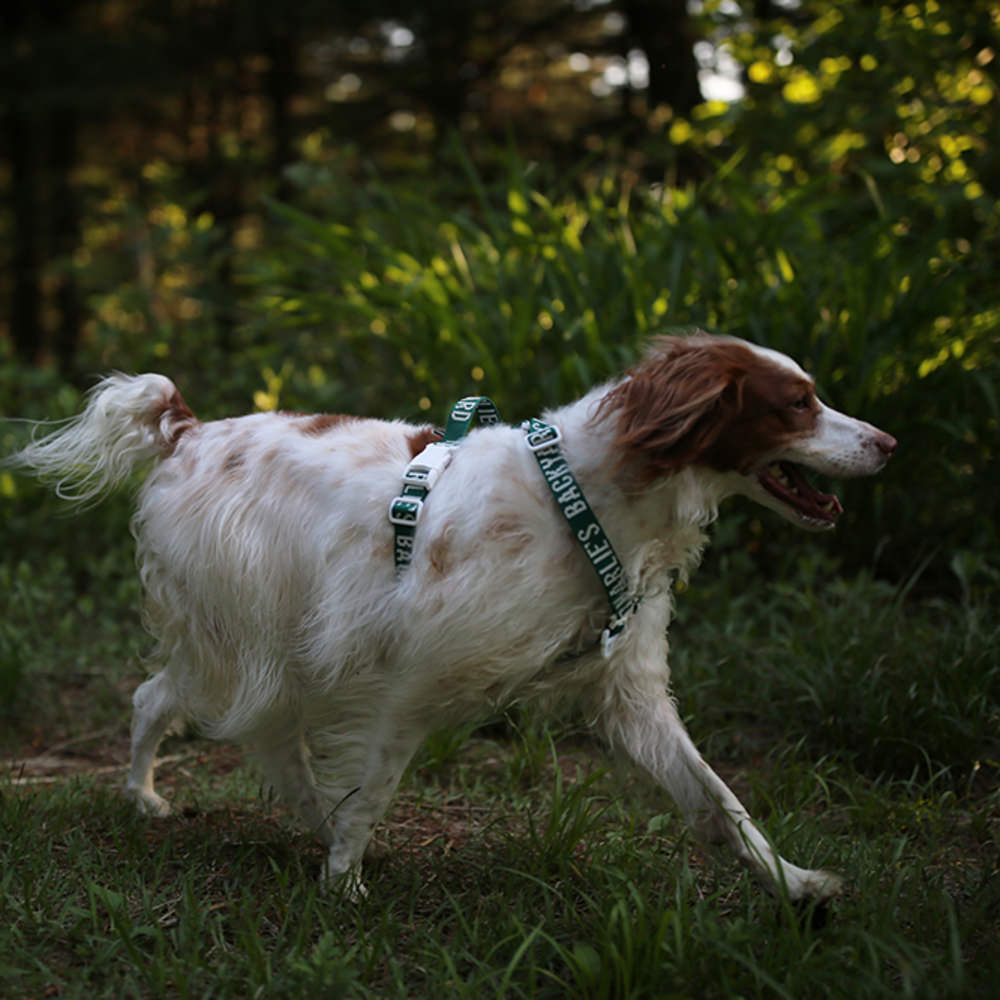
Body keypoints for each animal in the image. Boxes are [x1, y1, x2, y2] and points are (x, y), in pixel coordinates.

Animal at [5, 334, 900, 900]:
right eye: (798, 404)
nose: (888, 443)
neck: (584, 500)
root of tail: (187, 429)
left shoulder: (632, 692)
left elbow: (720, 800)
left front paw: (793, 885)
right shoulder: (409, 678)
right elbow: (373, 788)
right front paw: (345, 884)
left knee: (187, 708)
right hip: (250, 637)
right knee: (188, 710)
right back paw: (164, 800)